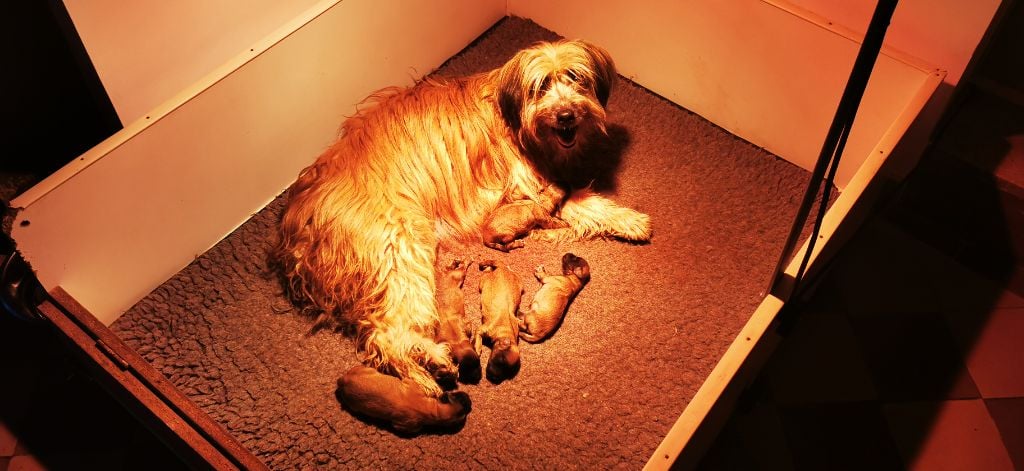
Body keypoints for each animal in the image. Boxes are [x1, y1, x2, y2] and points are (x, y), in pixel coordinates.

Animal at [276, 38, 651, 395]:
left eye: (576, 78)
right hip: (401, 247)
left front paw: (627, 222)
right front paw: (623, 220)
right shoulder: (528, 186)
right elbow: (576, 203)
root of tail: (297, 224)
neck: (514, 118)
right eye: (541, 86)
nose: (566, 116)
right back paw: (434, 365)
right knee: (388, 336)